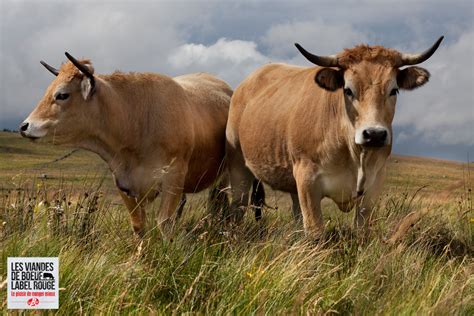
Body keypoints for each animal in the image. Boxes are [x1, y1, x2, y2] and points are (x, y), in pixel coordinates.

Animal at [21, 51, 232, 236]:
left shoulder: (174, 176)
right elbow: (138, 225)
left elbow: (164, 223)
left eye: (62, 95)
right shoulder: (124, 182)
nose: (24, 126)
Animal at [228, 37, 442, 236]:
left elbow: (361, 231)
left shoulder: (373, 186)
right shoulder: (308, 181)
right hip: (240, 169)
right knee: (238, 205)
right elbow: (315, 231)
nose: (374, 134)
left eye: (394, 90)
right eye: (348, 90)